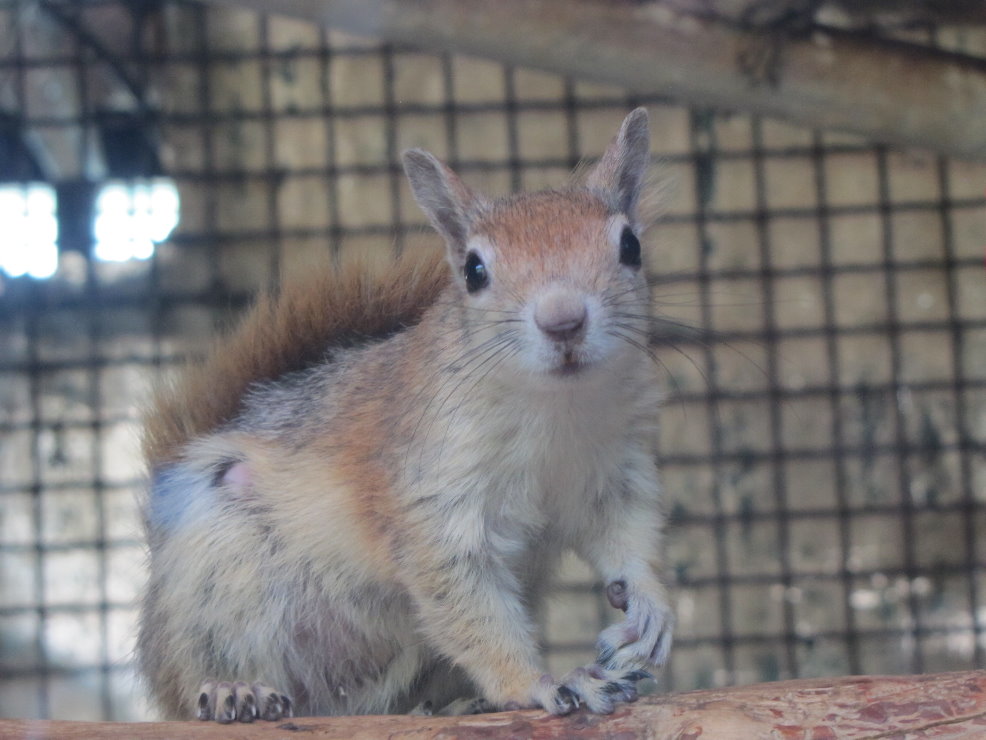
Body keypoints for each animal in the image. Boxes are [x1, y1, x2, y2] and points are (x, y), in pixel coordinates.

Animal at [137, 108, 674, 722]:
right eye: (474, 270)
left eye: (630, 245)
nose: (563, 321)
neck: (554, 408)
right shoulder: (431, 496)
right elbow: (466, 603)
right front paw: (536, 682)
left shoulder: (616, 470)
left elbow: (629, 536)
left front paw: (651, 609)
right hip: (218, 576)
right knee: (198, 671)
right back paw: (235, 688)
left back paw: (454, 705)